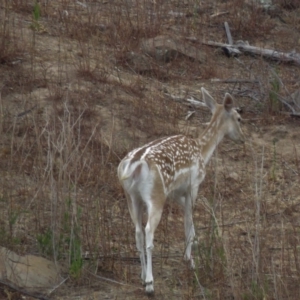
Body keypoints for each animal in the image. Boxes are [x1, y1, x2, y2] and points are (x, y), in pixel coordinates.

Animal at [117, 86, 244, 292]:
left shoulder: (175, 192)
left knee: (137, 232)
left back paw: (142, 276)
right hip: (155, 195)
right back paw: (150, 283)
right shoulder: (194, 185)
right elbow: (188, 223)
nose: (242, 138)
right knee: (149, 231)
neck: (202, 151)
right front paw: (190, 260)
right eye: (239, 118)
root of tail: (133, 165)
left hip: (131, 196)